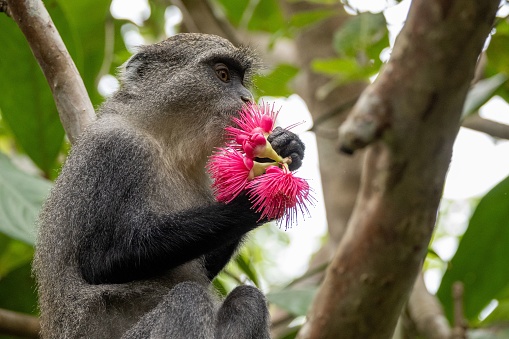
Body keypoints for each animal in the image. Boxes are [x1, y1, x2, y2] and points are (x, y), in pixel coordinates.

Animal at [34, 32, 306, 339]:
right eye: (223, 75)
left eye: (241, 80)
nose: (247, 98)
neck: (166, 142)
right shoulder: (115, 149)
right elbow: (100, 262)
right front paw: (256, 197)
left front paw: (280, 148)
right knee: (188, 298)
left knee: (248, 299)